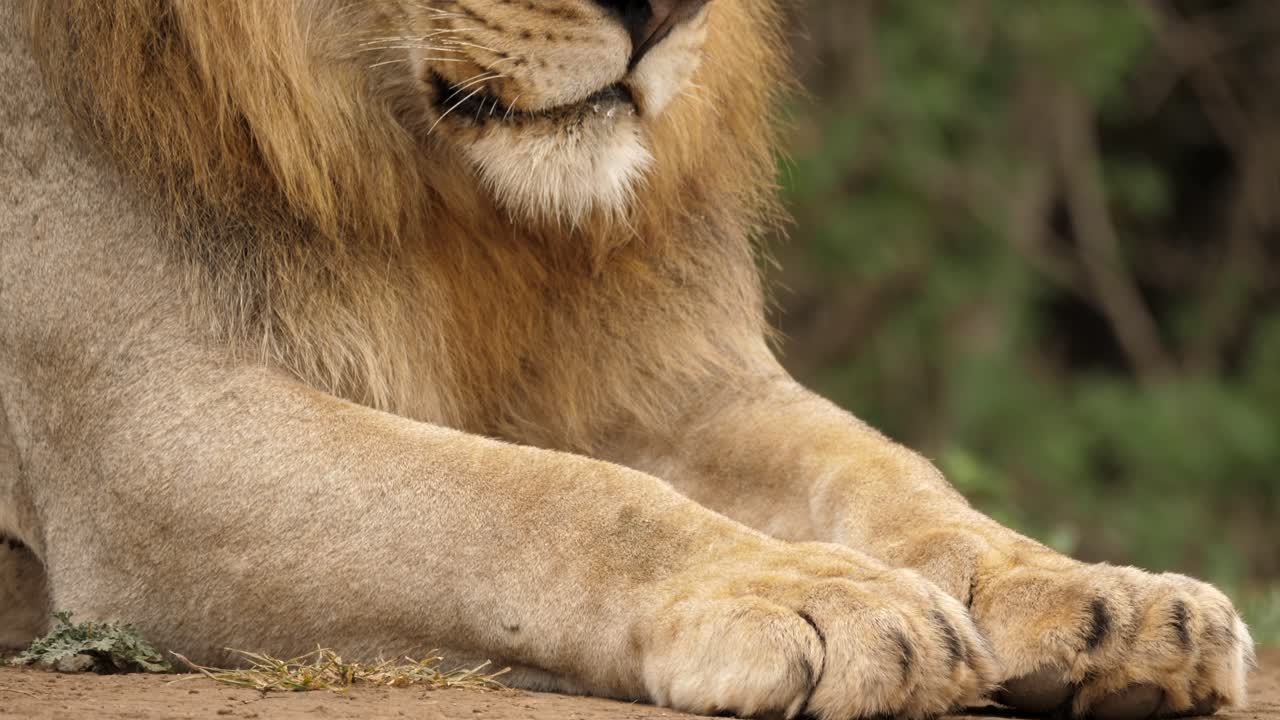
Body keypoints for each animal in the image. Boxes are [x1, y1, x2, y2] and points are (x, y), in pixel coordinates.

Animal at [0, 1, 1254, 718]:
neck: (433, 180)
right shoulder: (138, 434)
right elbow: (548, 496)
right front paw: (808, 594)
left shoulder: (675, 382)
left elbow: (891, 475)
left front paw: (1091, 597)